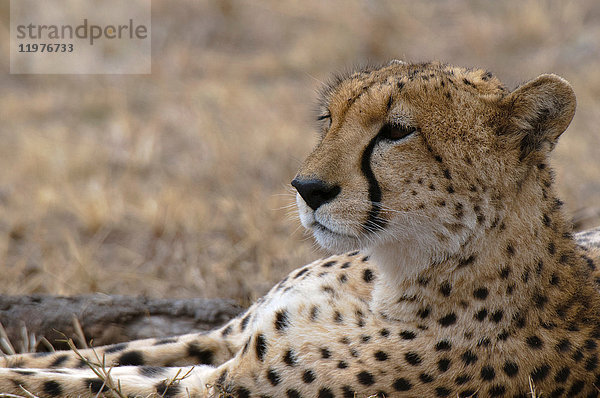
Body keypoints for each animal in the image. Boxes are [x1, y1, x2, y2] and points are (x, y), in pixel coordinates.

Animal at [1, 59, 600, 398]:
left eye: (396, 131)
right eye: (328, 119)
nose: (307, 188)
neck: (390, 276)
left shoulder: (226, 384)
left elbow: (73, 382)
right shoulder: (229, 339)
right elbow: (80, 358)